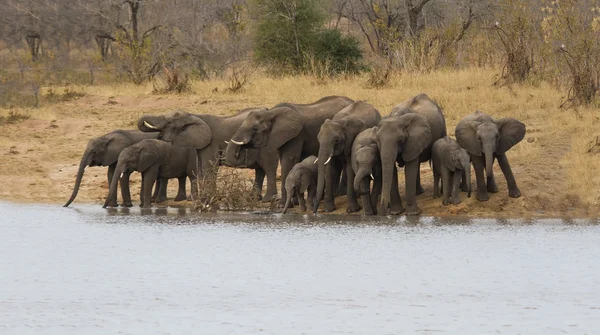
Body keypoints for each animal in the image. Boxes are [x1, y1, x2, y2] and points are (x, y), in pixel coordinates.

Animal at [137, 107, 268, 200]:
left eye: (169, 122)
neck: (194, 116)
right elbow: (200, 169)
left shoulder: (211, 143)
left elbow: (208, 167)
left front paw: (209, 198)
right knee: (260, 171)